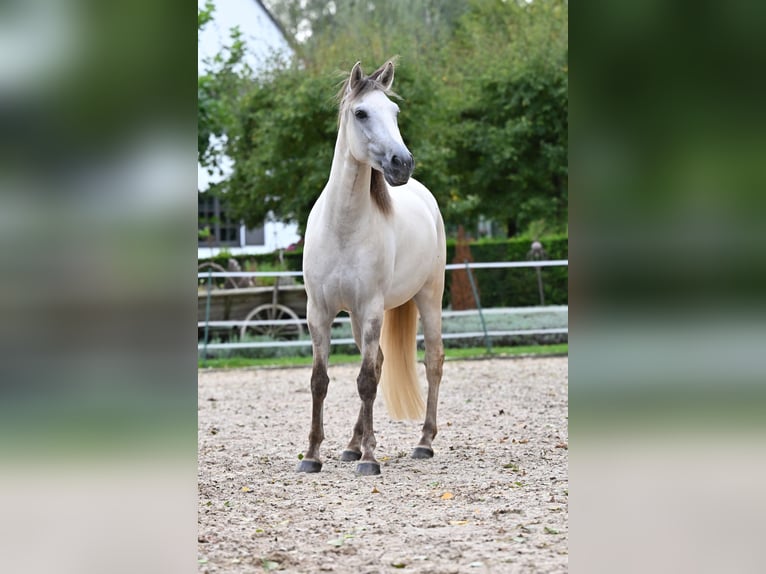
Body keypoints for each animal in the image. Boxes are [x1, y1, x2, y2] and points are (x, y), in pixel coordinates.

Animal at [296, 60, 448, 480]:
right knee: (379, 363)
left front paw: (370, 459)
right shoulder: (320, 312)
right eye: (361, 113)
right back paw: (352, 445)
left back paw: (424, 442)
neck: (343, 228)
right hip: (355, 316)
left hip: (428, 297)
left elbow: (365, 381)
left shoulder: (372, 310)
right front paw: (313, 455)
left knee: (432, 361)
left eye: (394, 112)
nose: (402, 163)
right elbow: (320, 380)